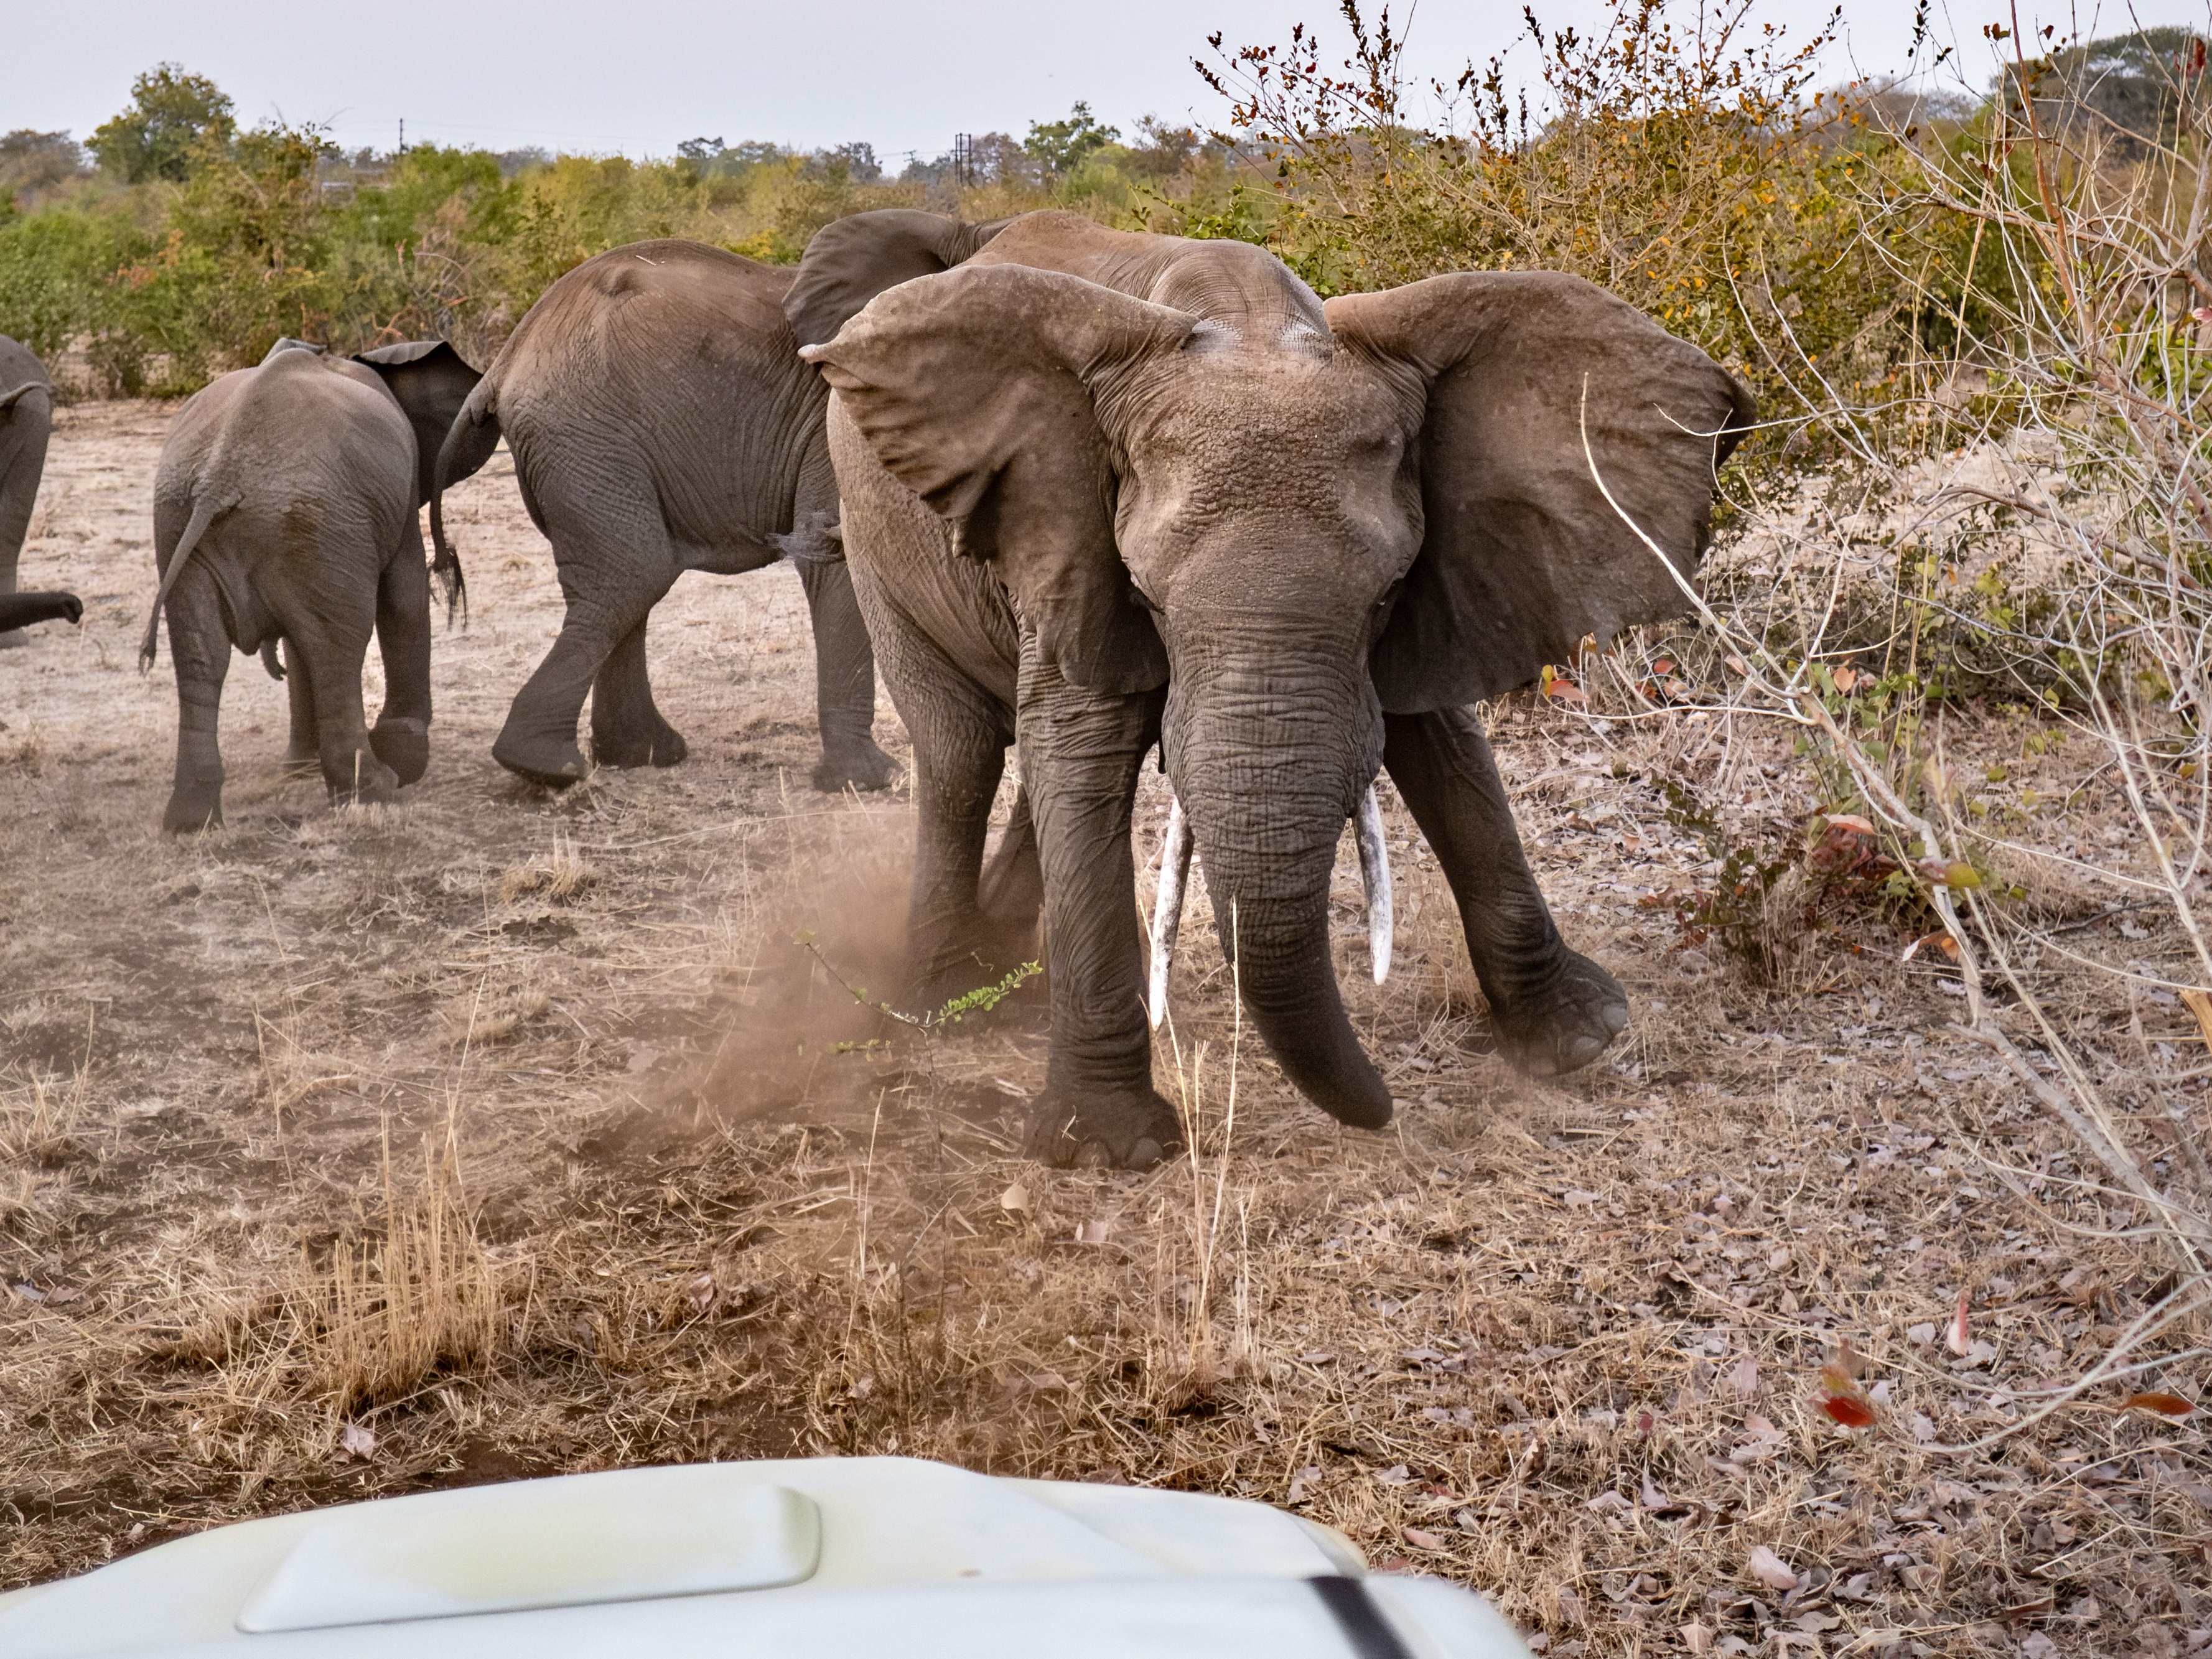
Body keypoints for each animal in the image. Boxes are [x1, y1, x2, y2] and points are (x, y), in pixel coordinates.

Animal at [144, 338, 490, 832]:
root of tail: (219, 479)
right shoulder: (394, 502)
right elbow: (404, 593)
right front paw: (405, 761)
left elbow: (296, 639)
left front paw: (302, 768)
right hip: (319, 523)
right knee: (337, 648)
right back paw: (374, 790)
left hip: (186, 524)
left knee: (201, 655)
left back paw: (192, 823)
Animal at [427, 212, 1008, 792]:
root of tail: (504, 362)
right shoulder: (842, 418)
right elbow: (838, 562)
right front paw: (867, 782)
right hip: (584, 435)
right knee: (628, 577)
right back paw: (550, 767)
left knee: (628, 581)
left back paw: (640, 756)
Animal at [805, 211, 1753, 1169]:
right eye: (1147, 596)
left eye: (1385, 596)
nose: (1388, 1111)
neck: (1250, 323)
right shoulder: (1070, 539)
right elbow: (1077, 749)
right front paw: (1107, 1148)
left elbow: (1445, 748)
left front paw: (1580, 1036)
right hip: (872, 537)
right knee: (961, 755)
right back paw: (944, 1001)